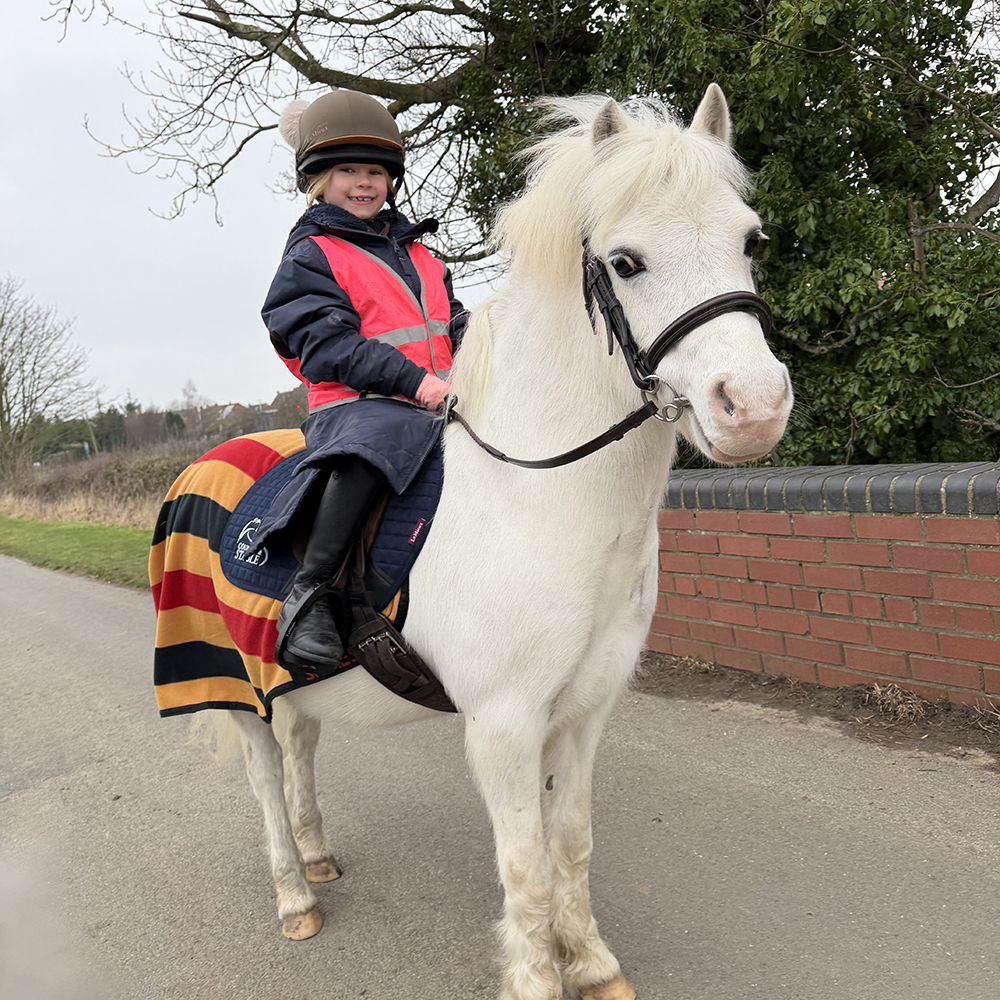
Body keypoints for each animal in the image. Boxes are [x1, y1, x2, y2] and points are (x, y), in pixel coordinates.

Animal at [152, 85, 792, 1000]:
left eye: (750, 240)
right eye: (627, 262)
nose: (754, 406)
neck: (541, 499)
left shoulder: (584, 714)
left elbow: (571, 844)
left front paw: (591, 962)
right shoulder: (503, 725)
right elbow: (525, 867)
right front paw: (539, 977)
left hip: (288, 682)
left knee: (300, 748)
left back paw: (316, 858)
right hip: (231, 683)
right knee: (265, 776)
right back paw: (292, 896)